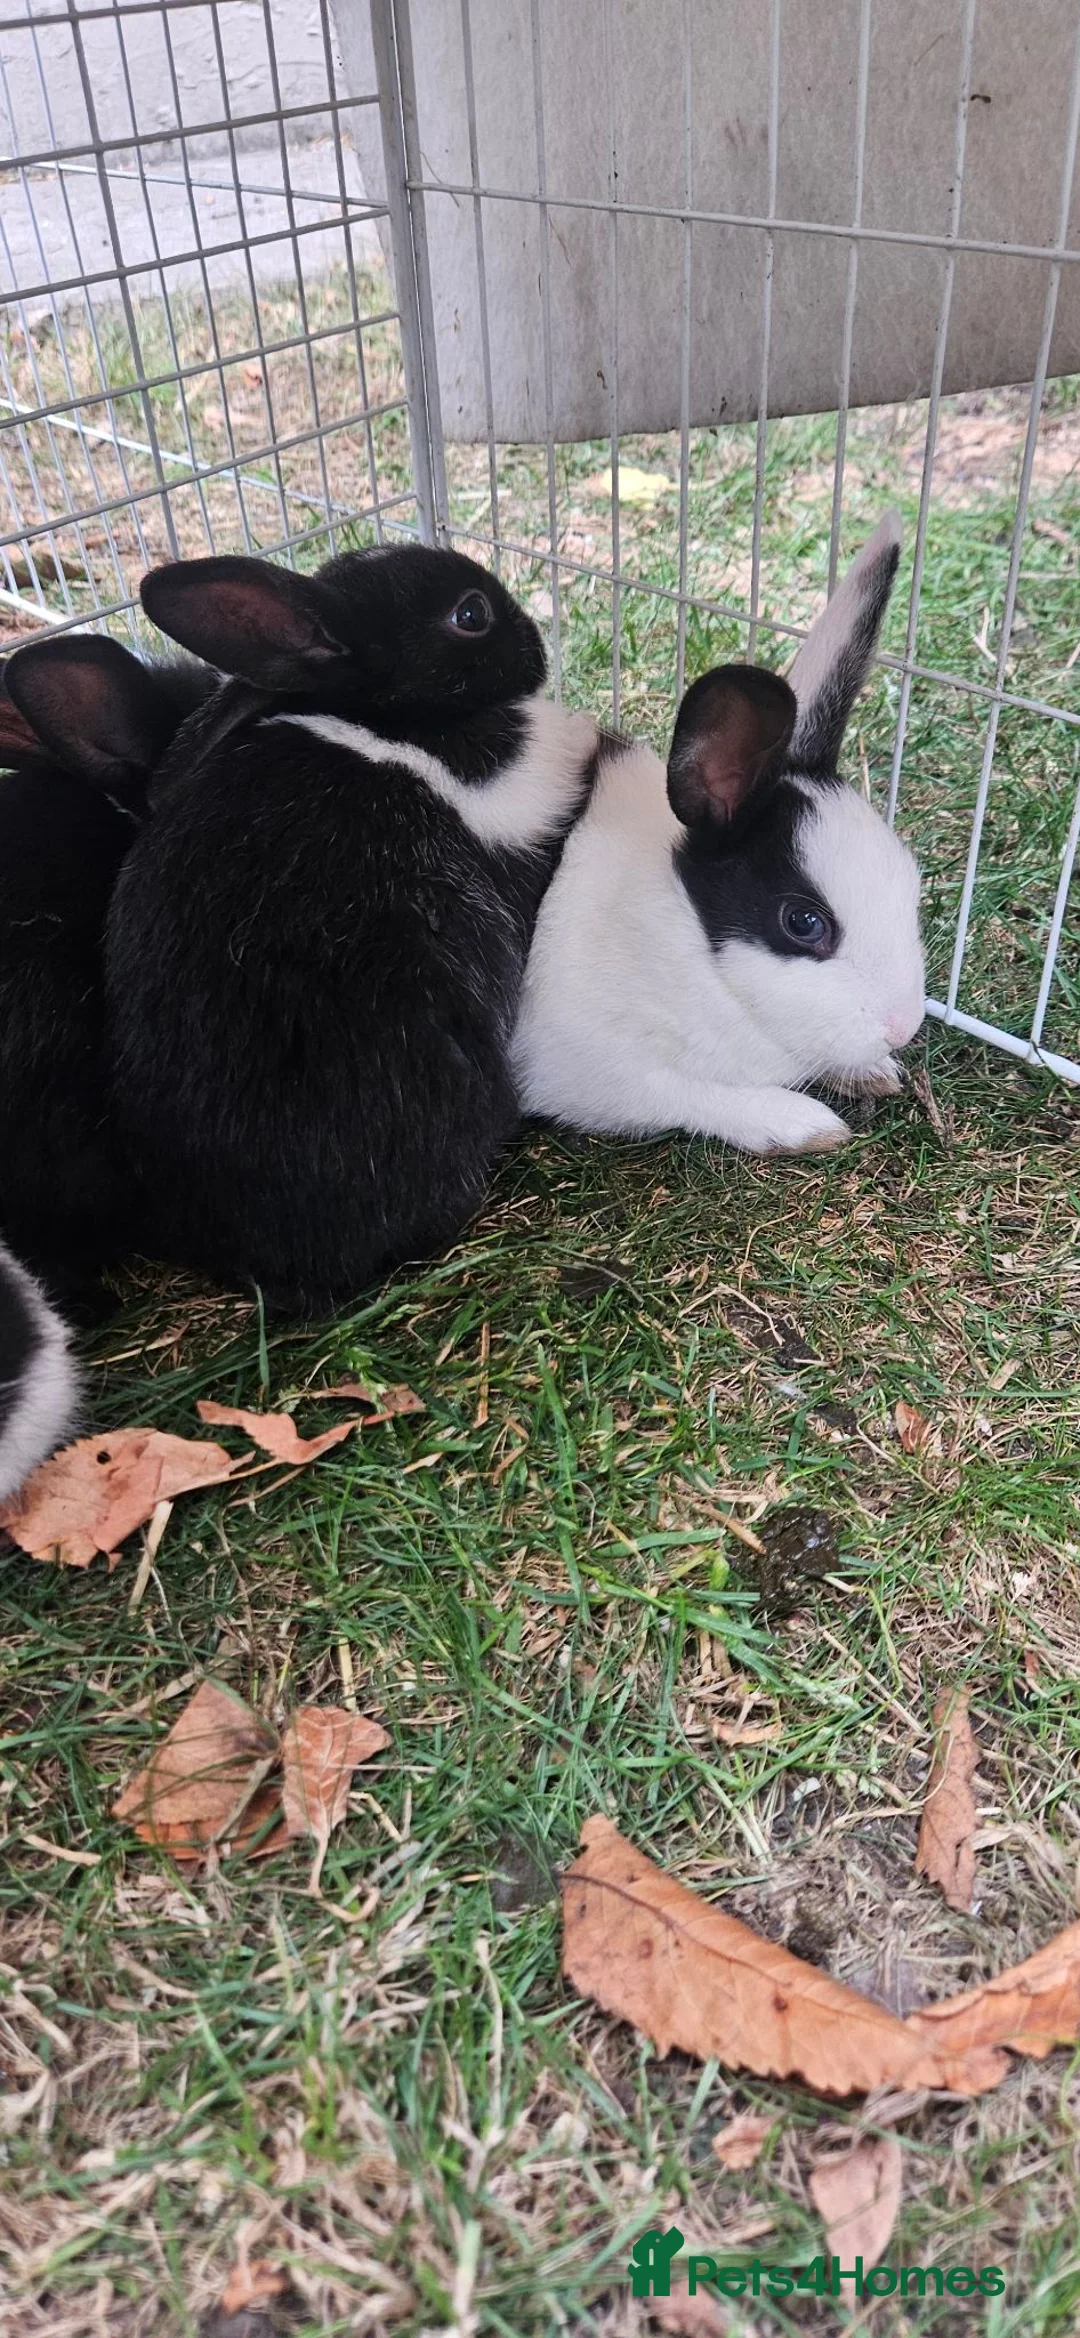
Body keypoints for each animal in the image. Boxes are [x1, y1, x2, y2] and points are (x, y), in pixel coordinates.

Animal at [512, 511, 925, 1155]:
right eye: (804, 922)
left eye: (910, 882)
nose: (901, 1028)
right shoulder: (582, 1069)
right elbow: (687, 1094)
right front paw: (801, 1124)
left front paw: (873, 1072)